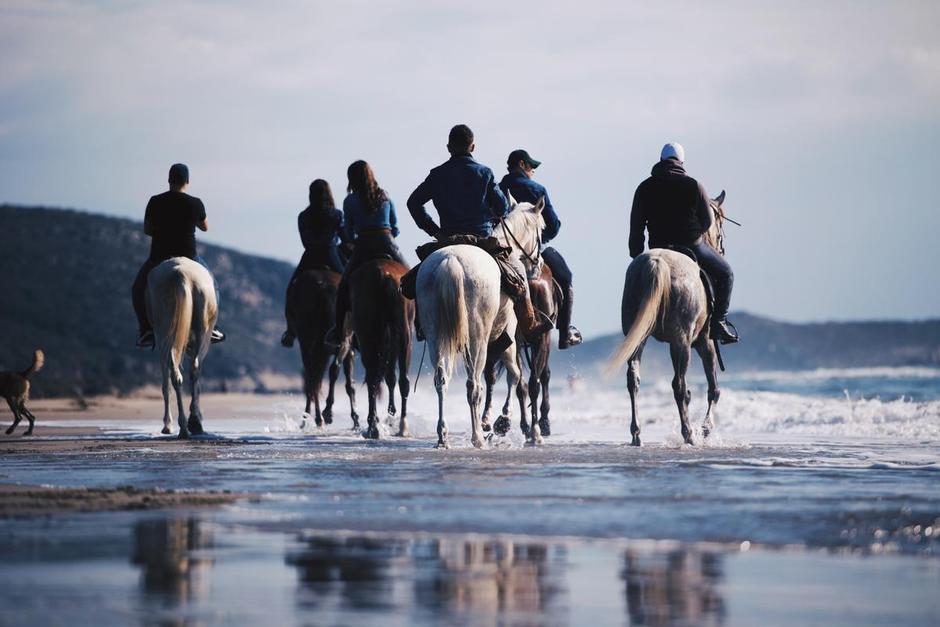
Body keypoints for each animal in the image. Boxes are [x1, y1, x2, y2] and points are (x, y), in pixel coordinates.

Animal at [147, 257, 218, 439]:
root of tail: (181, 274)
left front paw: (168, 424)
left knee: (174, 375)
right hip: (201, 333)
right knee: (192, 370)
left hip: (165, 333)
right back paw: (191, 423)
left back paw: (183, 426)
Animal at [285, 268, 359, 430]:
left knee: (312, 378)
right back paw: (323, 415)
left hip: (307, 341)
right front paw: (355, 418)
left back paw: (315, 417)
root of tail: (323, 286)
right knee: (327, 372)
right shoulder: (348, 350)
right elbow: (349, 383)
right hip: (332, 344)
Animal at [349, 258, 414, 439]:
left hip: (369, 338)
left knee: (373, 379)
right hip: (402, 336)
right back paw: (401, 426)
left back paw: (373, 426)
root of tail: (384, 275)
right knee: (402, 380)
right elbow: (390, 377)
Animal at [417, 197, 545, 449]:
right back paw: (477, 436)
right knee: (473, 385)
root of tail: (451, 261)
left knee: (441, 379)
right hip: (478, 338)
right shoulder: (509, 336)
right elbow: (515, 375)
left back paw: (443, 436)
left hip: (436, 336)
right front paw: (501, 420)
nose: (539, 264)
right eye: (542, 230)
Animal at [607, 191, 729, 446]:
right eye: (720, 224)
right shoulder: (706, 342)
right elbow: (714, 388)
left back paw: (637, 433)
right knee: (679, 385)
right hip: (681, 341)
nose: (721, 248)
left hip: (637, 337)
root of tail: (657, 262)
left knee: (633, 379)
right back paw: (689, 433)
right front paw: (706, 429)